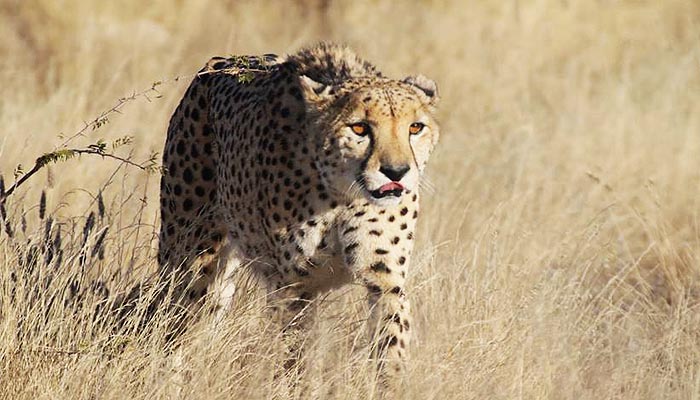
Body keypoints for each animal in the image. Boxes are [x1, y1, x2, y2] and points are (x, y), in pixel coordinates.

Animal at [159, 42, 440, 390]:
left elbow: (391, 342)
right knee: (174, 324)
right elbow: (296, 353)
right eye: (359, 128)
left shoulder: (385, 278)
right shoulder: (293, 288)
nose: (397, 172)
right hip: (189, 259)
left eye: (415, 127)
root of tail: (218, 62)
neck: (341, 195)